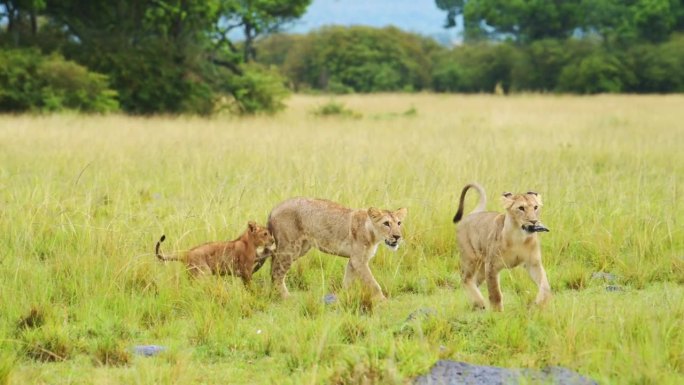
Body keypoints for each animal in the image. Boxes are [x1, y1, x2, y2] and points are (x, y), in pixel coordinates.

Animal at [266, 198, 406, 300]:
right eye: (386, 223)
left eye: (399, 223)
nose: (397, 236)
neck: (373, 234)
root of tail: (273, 209)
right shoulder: (359, 261)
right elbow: (373, 283)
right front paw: (383, 301)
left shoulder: (353, 261)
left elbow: (348, 280)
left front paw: (344, 297)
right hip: (290, 248)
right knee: (276, 272)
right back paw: (286, 297)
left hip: (300, 248)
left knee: (273, 266)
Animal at [454, 182, 552, 310]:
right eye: (521, 208)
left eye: (535, 207)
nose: (534, 221)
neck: (519, 237)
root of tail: (473, 213)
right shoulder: (492, 266)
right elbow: (495, 293)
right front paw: (497, 312)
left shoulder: (533, 263)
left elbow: (545, 285)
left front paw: (540, 303)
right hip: (471, 259)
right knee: (466, 279)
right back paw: (480, 302)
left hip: (482, 267)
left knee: (475, 281)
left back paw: (475, 304)